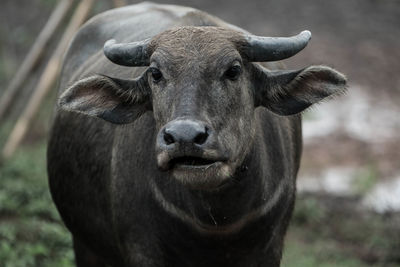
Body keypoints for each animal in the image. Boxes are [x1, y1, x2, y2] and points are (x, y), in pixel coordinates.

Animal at [47, 2, 346, 267]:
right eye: (155, 73)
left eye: (234, 70)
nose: (184, 137)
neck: (216, 223)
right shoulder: (141, 251)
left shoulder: (269, 250)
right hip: (84, 245)